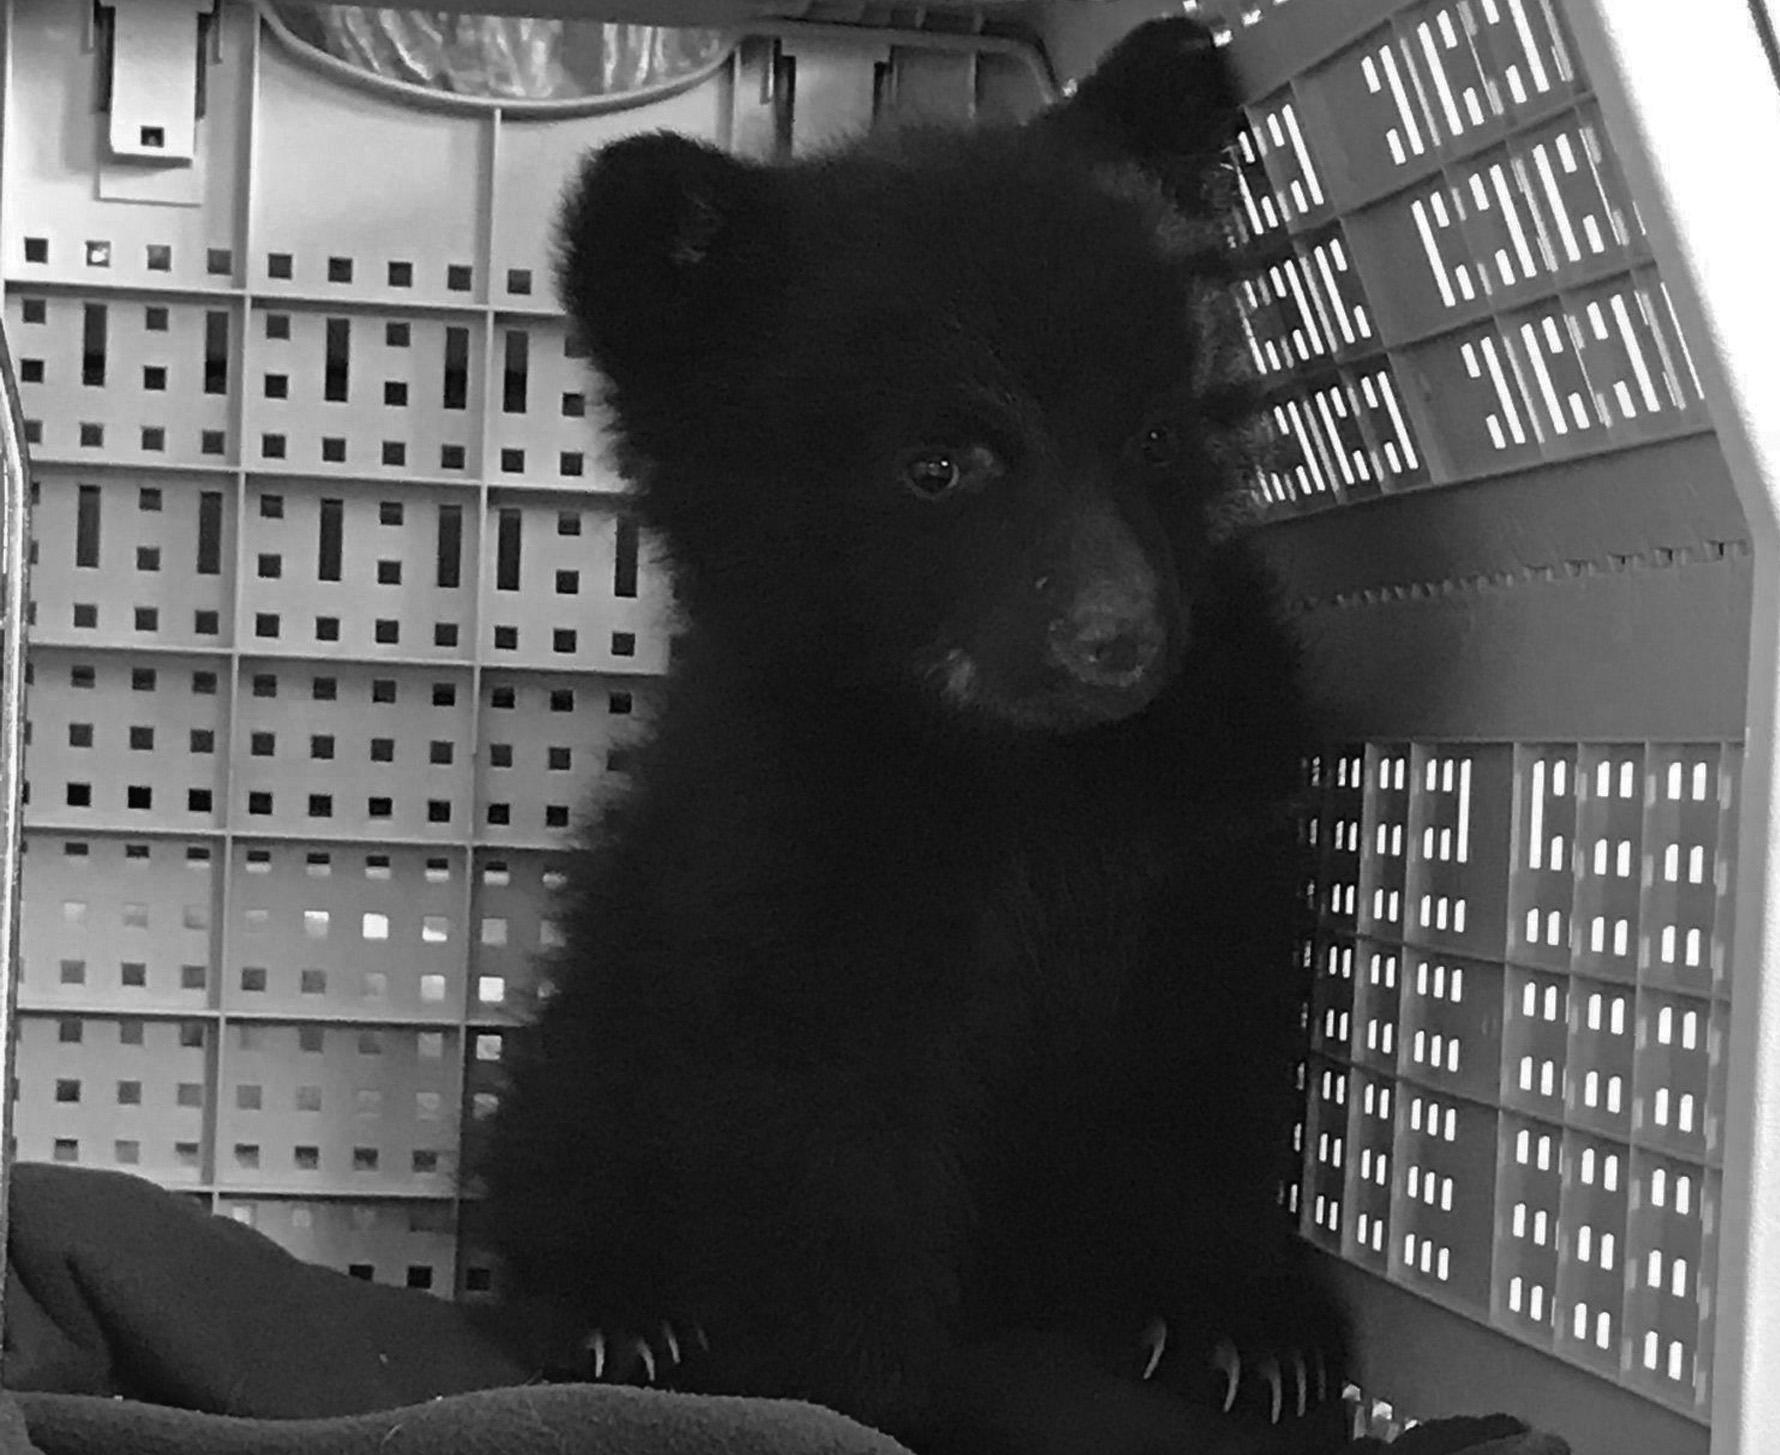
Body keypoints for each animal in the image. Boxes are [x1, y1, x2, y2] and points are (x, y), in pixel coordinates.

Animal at [475, 16, 1348, 1454]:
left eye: (1156, 436)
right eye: (937, 466)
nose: (1117, 639)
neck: (1026, 774)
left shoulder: (1216, 837)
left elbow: (1209, 1069)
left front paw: (1243, 1322)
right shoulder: (790, 874)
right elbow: (824, 1153)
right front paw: (865, 1398)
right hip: (602, 1014)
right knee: (556, 1141)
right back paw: (617, 1310)